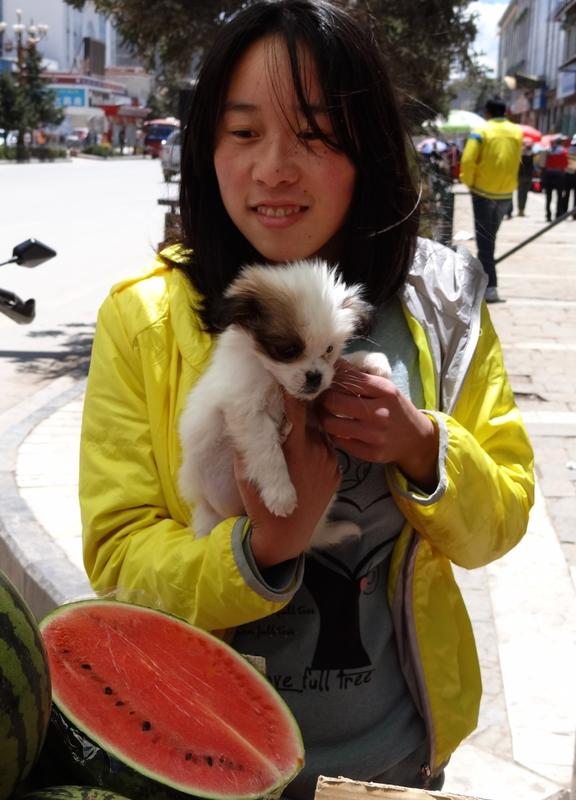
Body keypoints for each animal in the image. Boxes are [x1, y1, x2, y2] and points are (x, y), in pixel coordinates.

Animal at [178, 259, 391, 549]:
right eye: (288, 350)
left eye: (329, 349)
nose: (315, 377)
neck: (271, 377)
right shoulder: (247, 411)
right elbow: (267, 450)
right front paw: (281, 494)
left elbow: (340, 369)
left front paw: (372, 361)